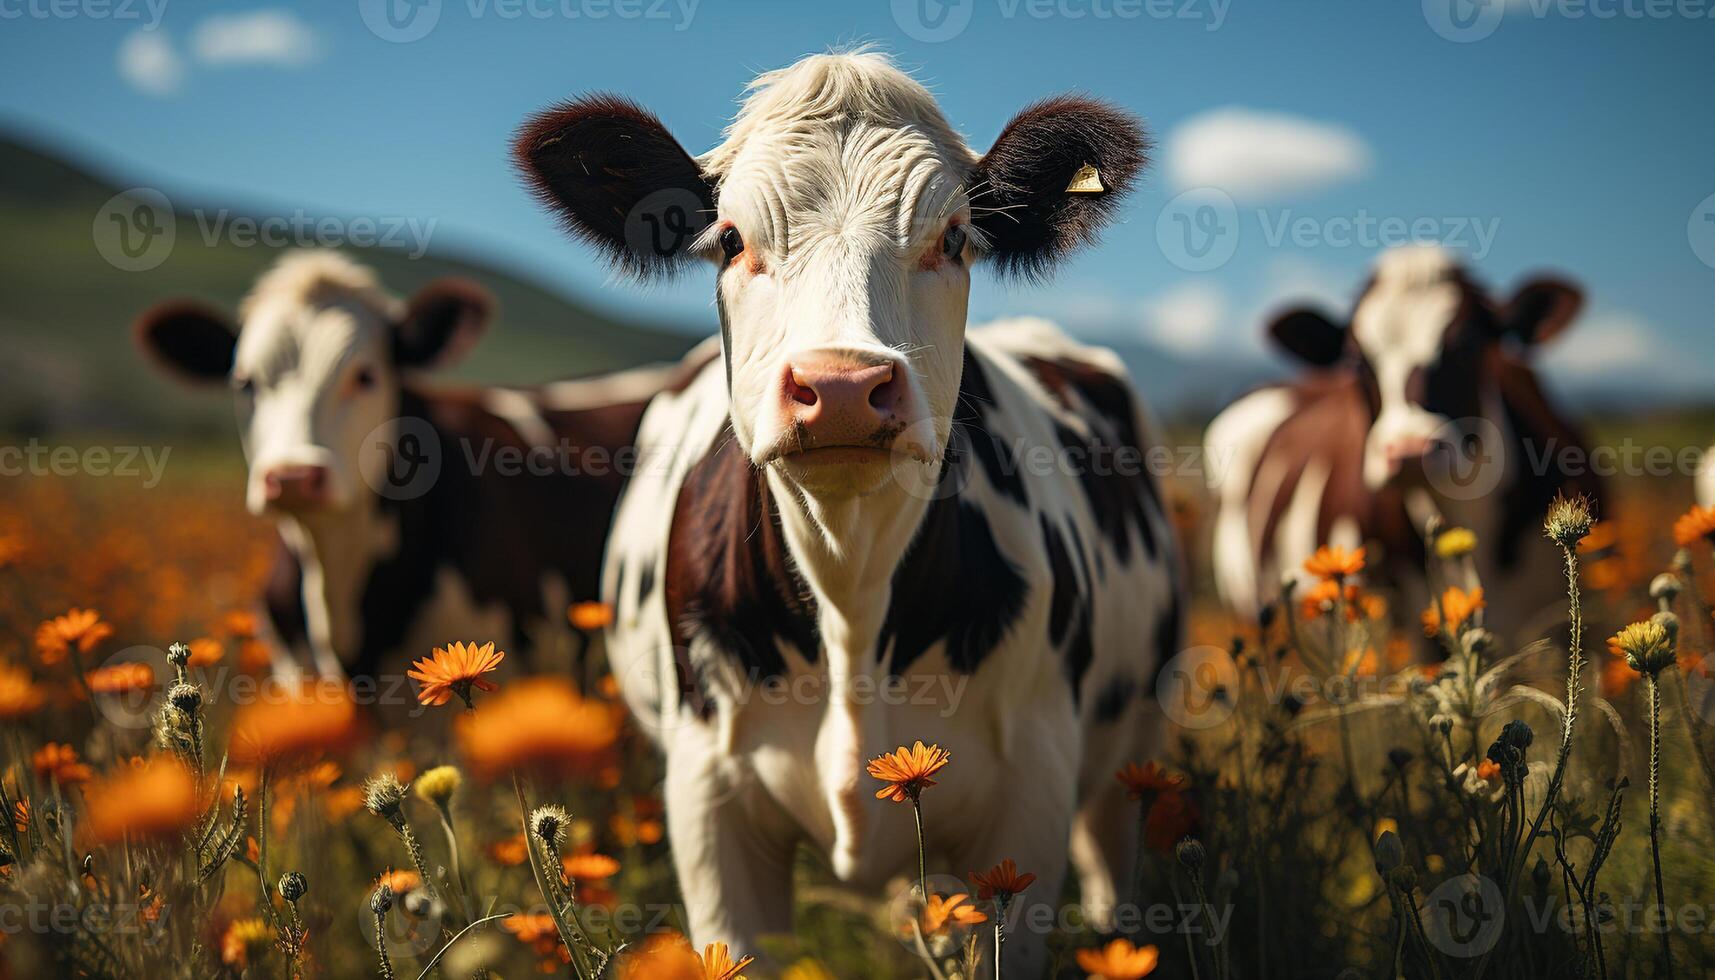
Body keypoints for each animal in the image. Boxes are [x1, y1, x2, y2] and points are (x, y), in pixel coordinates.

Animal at [507, 49, 1179, 967]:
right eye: (730, 239)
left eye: (953, 237)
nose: (842, 387)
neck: (850, 588)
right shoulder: (708, 804)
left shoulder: (1028, 806)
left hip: (1130, 745)